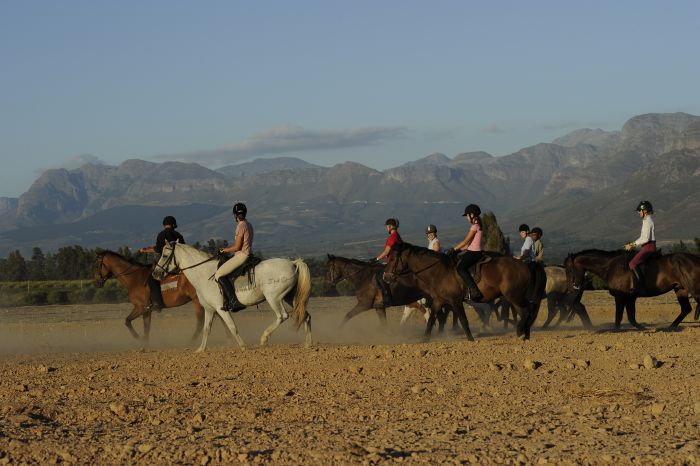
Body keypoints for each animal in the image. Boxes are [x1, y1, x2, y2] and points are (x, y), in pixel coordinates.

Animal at [153, 242, 312, 352]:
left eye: (165, 255)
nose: (155, 274)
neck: (204, 274)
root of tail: (293, 263)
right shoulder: (209, 309)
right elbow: (206, 329)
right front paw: (200, 350)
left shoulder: (221, 309)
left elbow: (232, 327)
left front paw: (243, 346)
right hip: (290, 298)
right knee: (305, 315)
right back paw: (307, 343)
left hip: (274, 298)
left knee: (282, 316)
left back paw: (264, 339)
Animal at [382, 244, 548, 338]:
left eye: (392, 259)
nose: (385, 276)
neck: (439, 271)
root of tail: (525, 264)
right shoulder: (438, 301)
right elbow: (431, 320)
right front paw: (425, 339)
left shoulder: (455, 301)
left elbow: (463, 320)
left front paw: (470, 339)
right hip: (514, 297)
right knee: (526, 310)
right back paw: (523, 332)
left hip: (514, 296)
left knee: (528, 310)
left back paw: (522, 332)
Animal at [564, 249, 700, 330]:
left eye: (569, 270)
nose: (571, 289)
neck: (610, 267)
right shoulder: (630, 297)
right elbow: (631, 317)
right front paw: (642, 328)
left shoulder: (620, 297)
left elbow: (619, 316)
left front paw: (616, 331)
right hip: (680, 289)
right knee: (686, 309)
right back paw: (670, 327)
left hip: (694, 289)